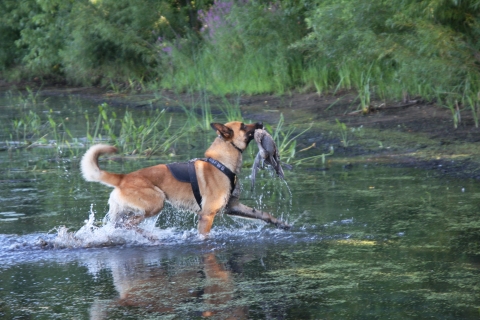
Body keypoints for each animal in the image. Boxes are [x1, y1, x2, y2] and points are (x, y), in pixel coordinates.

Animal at [81, 121, 288, 236]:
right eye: (244, 126)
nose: (261, 123)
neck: (222, 163)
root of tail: (122, 178)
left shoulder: (233, 207)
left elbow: (262, 214)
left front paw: (282, 224)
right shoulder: (207, 216)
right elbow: (204, 237)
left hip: (124, 213)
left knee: (120, 226)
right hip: (156, 202)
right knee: (128, 225)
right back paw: (151, 237)